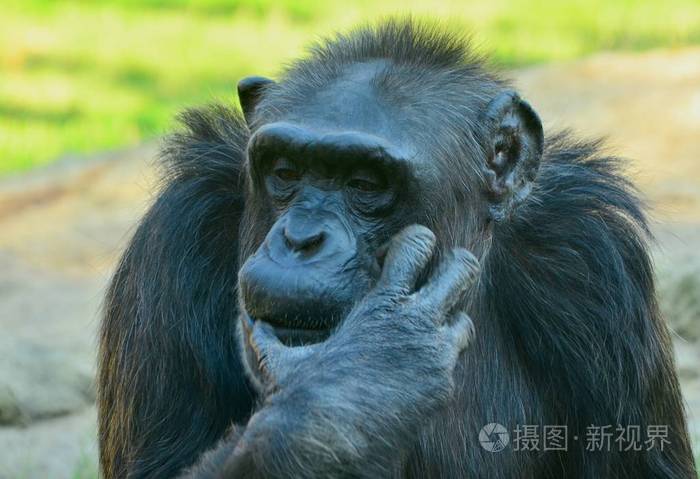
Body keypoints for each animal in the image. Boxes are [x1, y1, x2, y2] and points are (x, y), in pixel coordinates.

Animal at [95, 18, 696, 479]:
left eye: (366, 183)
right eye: (285, 171)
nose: (301, 239)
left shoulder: (594, 259)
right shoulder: (176, 234)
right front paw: (370, 369)